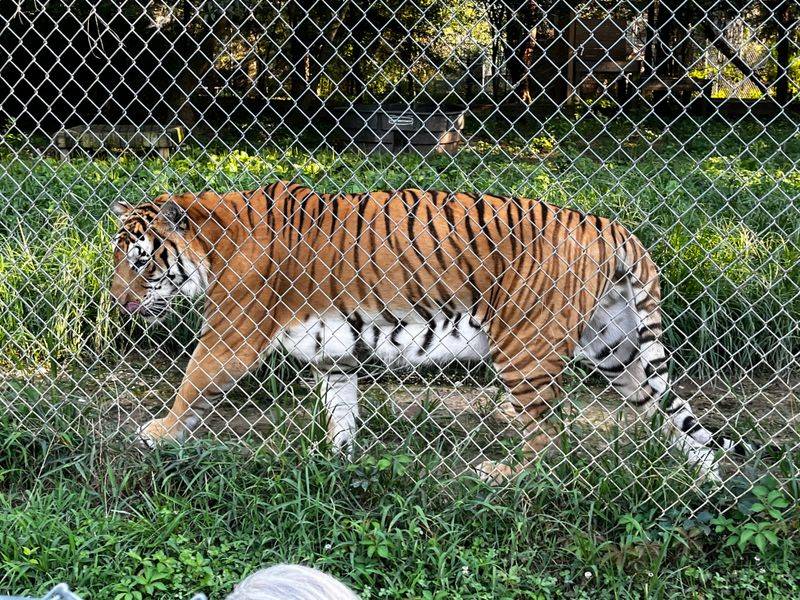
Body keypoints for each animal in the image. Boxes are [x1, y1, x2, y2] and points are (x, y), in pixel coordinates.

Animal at [110, 180, 754, 481]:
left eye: (140, 263)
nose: (116, 301)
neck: (211, 241)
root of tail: (606, 224)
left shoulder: (233, 332)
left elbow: (194, 380)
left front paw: (158, 431)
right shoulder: (335, 350)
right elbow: (341, 407)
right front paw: (338, 460)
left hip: (525, 349)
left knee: (549, 437)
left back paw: (505, 475)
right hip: (617, 348)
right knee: (672, 412)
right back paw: (703, 480)